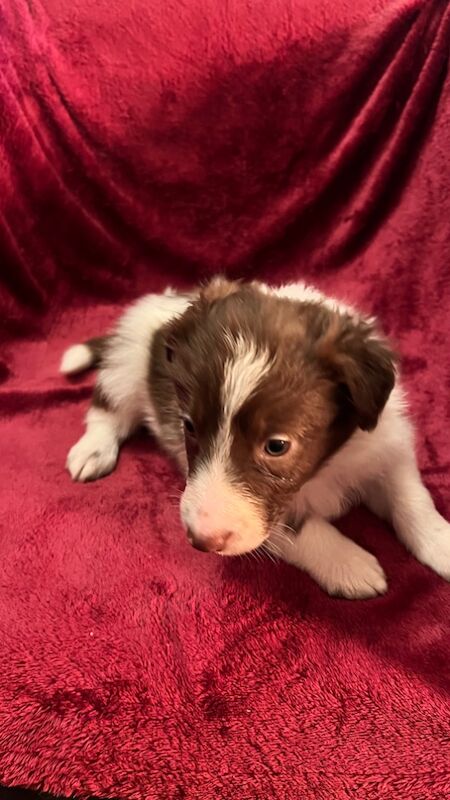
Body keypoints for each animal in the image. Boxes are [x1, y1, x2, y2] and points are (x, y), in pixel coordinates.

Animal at [60, 278, 450, 596]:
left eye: (276, 446)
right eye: (189, 426)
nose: (200, 540)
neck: (326, 467)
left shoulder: (385, 447)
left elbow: (411, 498)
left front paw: (441, 542)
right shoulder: (268, 519)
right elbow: (298, 529)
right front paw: (349, 563)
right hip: (126, 368)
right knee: (106, 409)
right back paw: (93, 450)